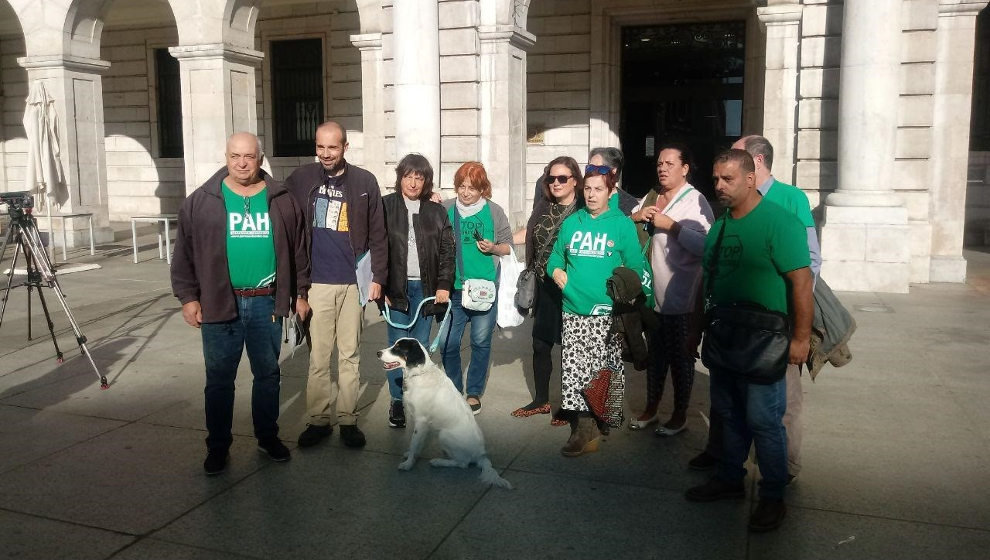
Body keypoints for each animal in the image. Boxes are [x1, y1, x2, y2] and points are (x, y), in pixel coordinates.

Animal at [378, 336, 512, 490]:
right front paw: (411, 455)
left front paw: (408, 464)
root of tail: (481, 455)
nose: (378, 353)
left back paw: (438, 462)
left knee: (463, 463)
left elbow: (414, 443)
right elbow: (416, 444)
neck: (420, 374)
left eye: (398, 348)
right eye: (394, 345)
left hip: (443, 434)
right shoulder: (421, 423)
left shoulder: (421, 420)